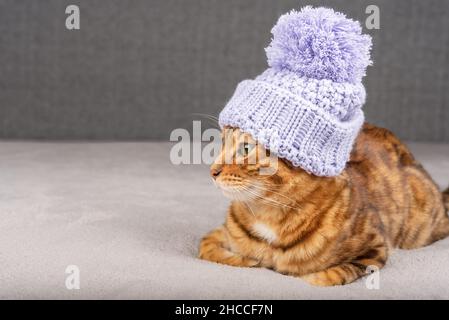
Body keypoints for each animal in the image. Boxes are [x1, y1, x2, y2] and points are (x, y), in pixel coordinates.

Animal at [199, 124, 448, 286]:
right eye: (222, 143)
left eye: (246, 149)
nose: (212, 171)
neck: (268, 214)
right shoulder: (220, 232)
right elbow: (206, 247)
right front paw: (248, 260)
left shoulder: (374, 249)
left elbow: (325, 277)